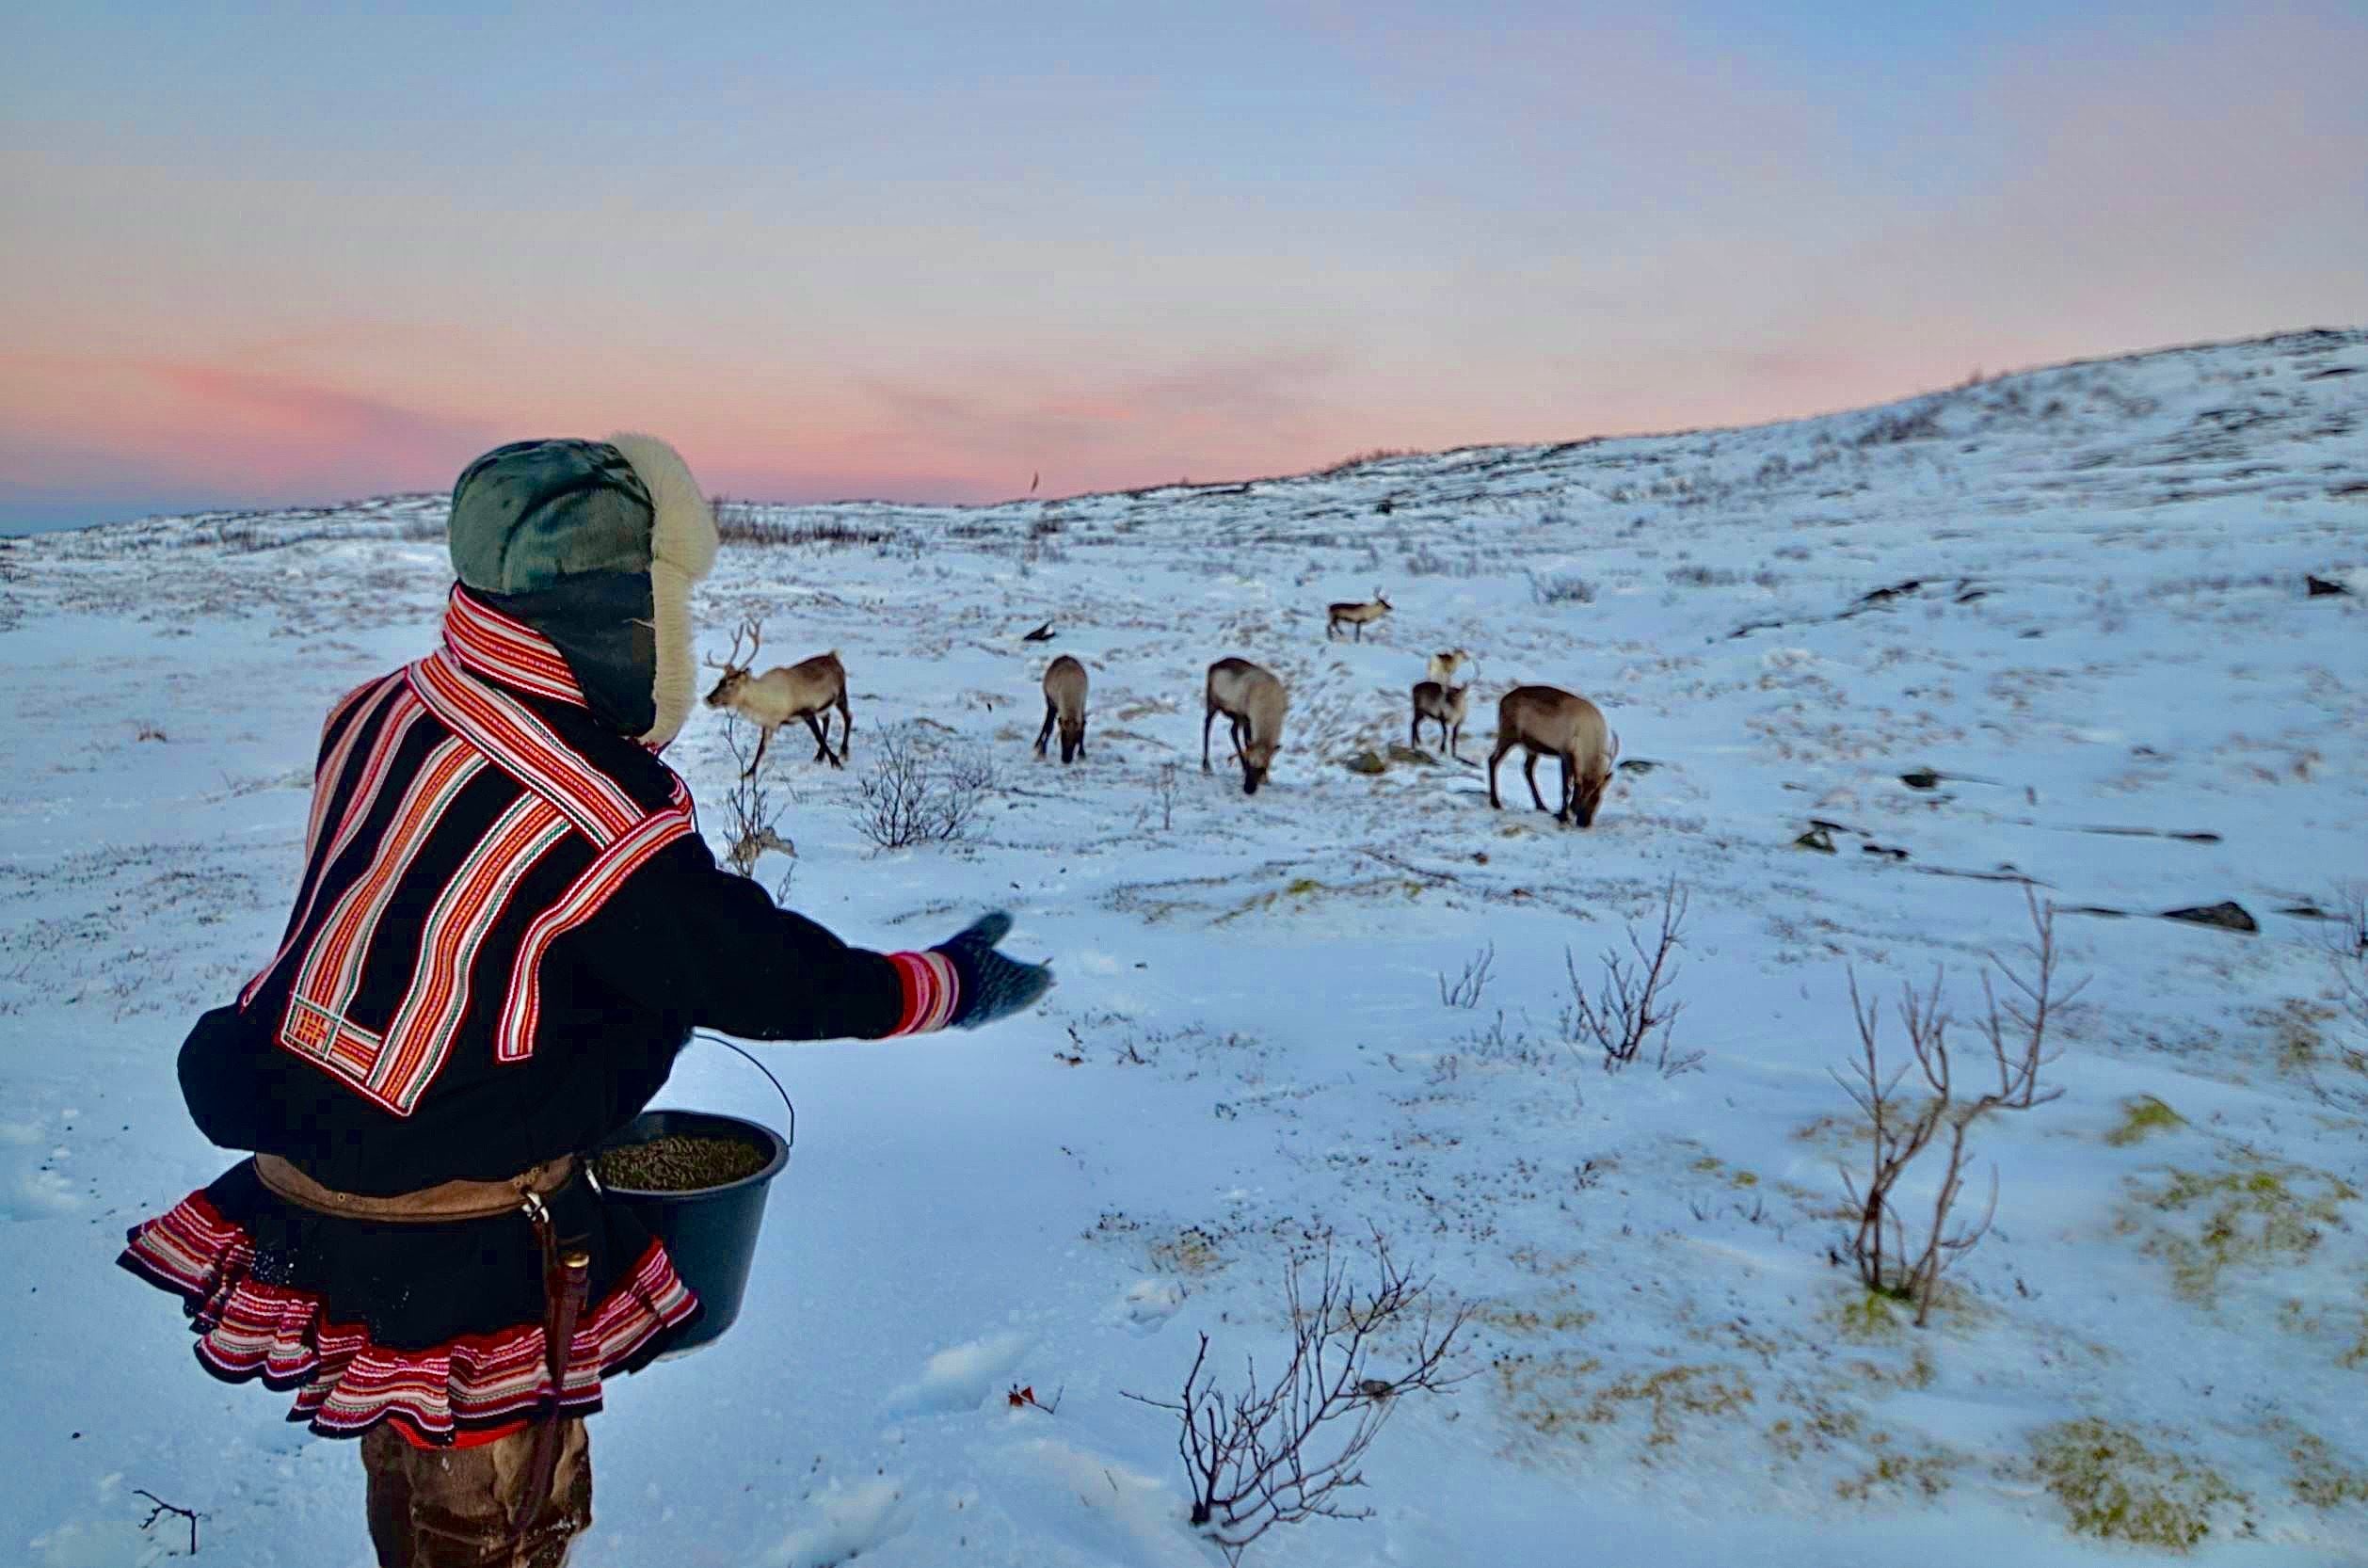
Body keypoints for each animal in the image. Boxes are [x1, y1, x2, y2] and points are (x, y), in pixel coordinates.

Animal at [702, 618, 852, 776]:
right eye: (720, 680)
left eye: (730, 683)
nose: (708, 699)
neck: (767, 704)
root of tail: (833, 656)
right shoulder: (769, 723)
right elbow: (761, 748)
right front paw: (749, 773)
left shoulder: (806, 710)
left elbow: (819, 737)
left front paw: (836, 762)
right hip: (824, 706)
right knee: (828, 718)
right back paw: (819, 756)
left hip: (841, 694)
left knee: (848, 716)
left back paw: (843, 752)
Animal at [1202, 658, 1288, 795]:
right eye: (1250, 763)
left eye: (1262, 768)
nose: (1248, 789)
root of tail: (1214, 665)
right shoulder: (1247, 718)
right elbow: (1248, 743)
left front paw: (1266, 779)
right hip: (1213, 703)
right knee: (1207, 725)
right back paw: (1206, 766)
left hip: (1235, 716)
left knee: (1232, 731)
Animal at [1487, 684, 1619, 827]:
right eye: (1581, 794)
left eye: (1597, 797)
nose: (1584, 823)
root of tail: (1503, 700)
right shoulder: (1565, 753)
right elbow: (1565, 789)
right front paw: (1562, 816)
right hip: (1508, 734)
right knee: (1493, 760)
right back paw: (1496, 802)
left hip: (1531, 747)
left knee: (1527, 769)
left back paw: (1541, 806)